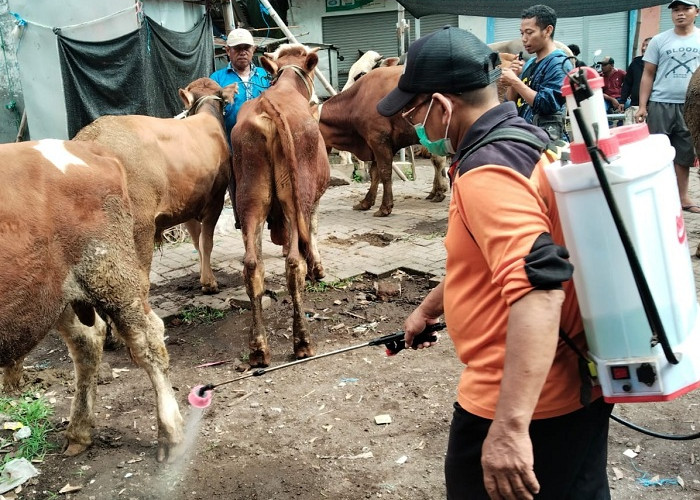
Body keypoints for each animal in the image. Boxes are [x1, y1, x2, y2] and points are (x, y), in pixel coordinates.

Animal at [0, 139, 183, 462]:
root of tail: (90, 150)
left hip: (110, 274)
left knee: (147, 339)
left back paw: (169, 434)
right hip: (55, 291)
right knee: (87, 340)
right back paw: (79, 432)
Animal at [75, 78, 235, 296]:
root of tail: (89, 137)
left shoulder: (187, 204)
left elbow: (197, 242)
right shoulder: (215, 199)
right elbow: (206, 242)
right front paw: (210, 283)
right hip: (139, 226)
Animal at [230, 44, 328, 368]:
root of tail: (268, 108)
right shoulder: (313, 199)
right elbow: (312, 230)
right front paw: (317, 268)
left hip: (251, 197)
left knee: (252, 266)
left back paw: (259, 348)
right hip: (295, 196)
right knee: (293, 265)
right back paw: (303, 342)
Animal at [318, 63, 448, 216]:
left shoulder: (379, 140)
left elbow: (384, 172)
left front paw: (385, 207)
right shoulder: (372, 143)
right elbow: (374, 173)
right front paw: (366, 202)